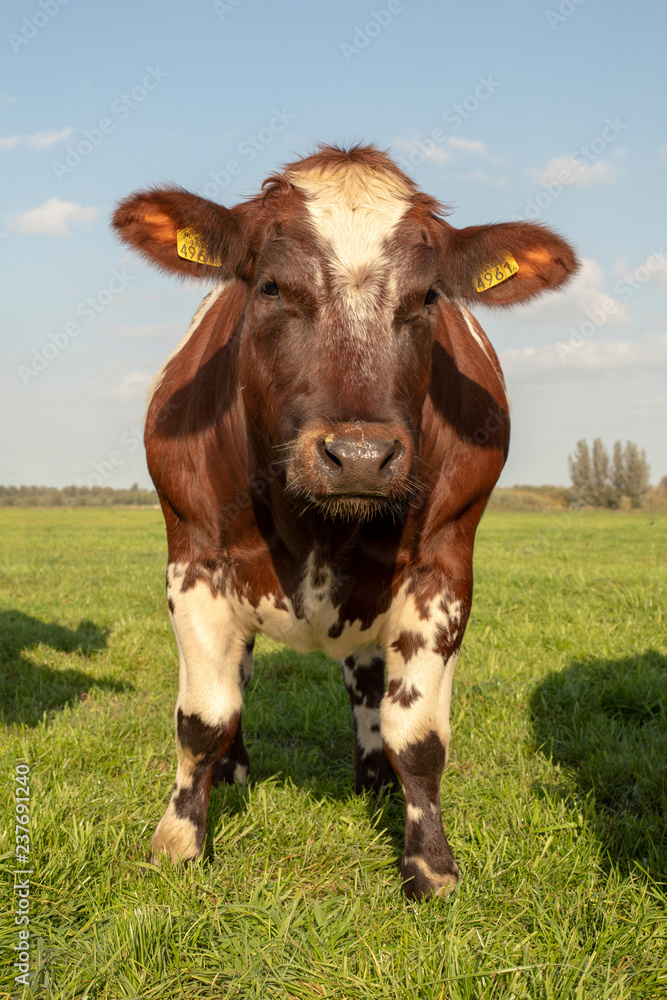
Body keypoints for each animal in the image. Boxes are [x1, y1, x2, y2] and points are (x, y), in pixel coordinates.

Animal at [112, 145, 576, 904]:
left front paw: (429, 864)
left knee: (366, 679)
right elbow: (204, 717)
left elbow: (416, 732)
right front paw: (180, 840)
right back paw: (233, 774)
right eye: (270, 287)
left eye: (428, 297)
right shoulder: (194, 558)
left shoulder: (442, 571)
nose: (359, 455)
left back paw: (374, 779)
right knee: (237, 676)